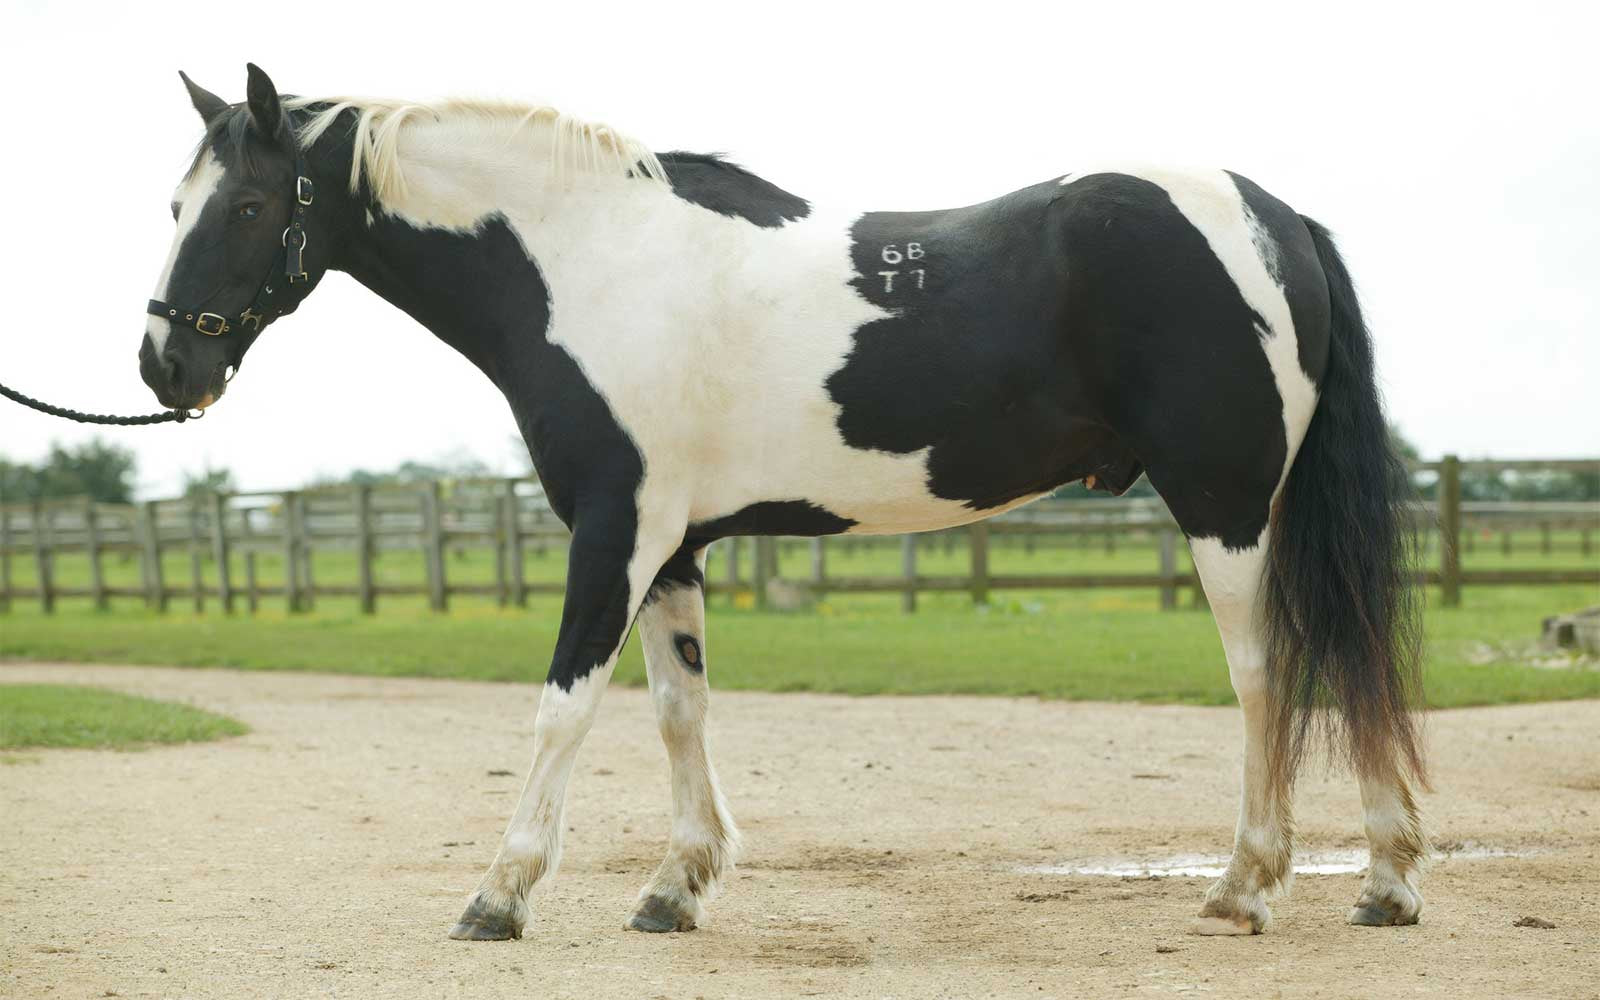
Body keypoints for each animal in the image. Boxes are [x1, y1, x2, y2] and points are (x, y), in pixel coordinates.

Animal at [140, 66, 1427, 940]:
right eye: (173, 205)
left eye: (246, 207)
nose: (165, 366)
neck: (593, 262)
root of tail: (1273, 219)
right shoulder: (671, 546)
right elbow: (678, 709)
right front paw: (676, 885)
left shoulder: (613, 532)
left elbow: (563, 708)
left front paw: (498, 895)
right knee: (1341, 655)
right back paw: (1384, 880)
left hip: (1224, 506)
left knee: (1269, 674)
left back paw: (1247, 887)